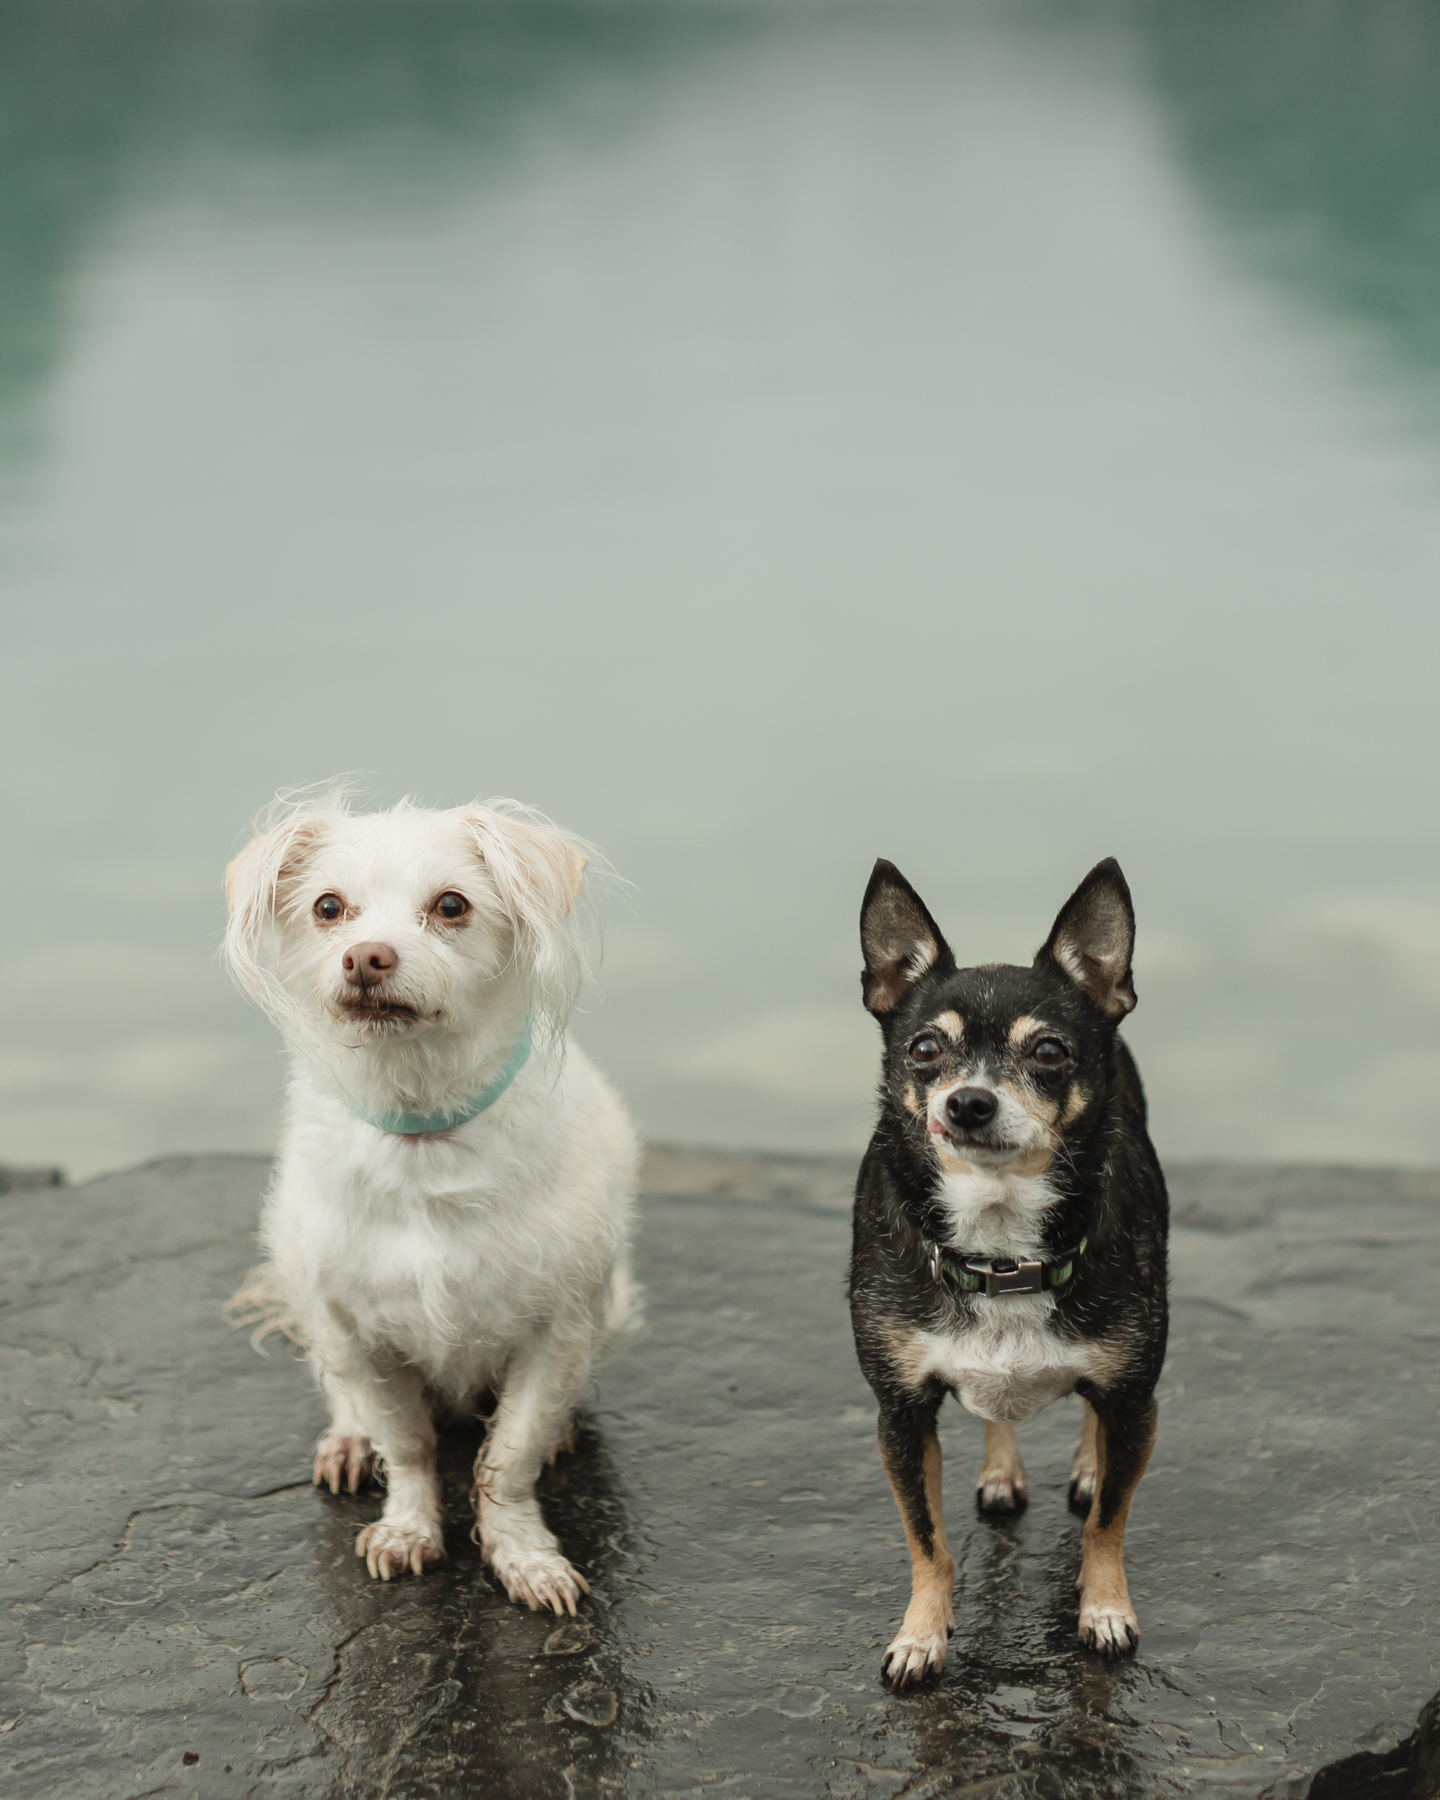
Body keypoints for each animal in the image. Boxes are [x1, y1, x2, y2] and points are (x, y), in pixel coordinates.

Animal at [223, 792, 637, 1620]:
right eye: (328, 908)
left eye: (451, 905)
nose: (366, 957)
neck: (423, 1133)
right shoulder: (353, 1332)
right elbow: (407, 1444)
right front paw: (408, 1528)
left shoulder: (559, 1329)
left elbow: (508, 1457)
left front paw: (525, 1556)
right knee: (348, 1404)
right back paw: (348, 1441)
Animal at [849, 856, 1166, 1684]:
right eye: (925, 1049)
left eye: (1048, 1052)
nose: (969, 1102)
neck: (1001, 1249)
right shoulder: (900, 1414)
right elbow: (926, 1540)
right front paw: (921, 1635)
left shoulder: (1136, 1400)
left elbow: (1108, 1521)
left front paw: (1104, 1609)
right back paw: (1001, 1472)